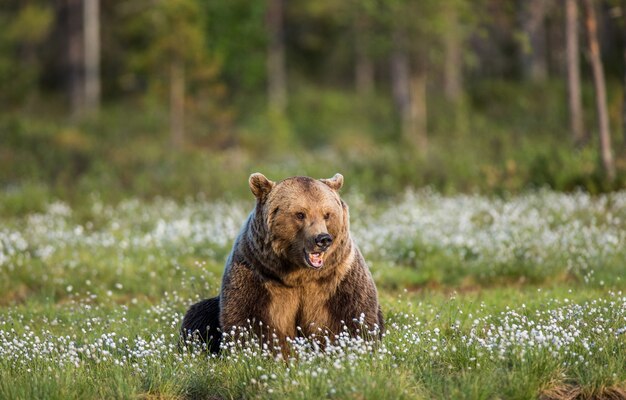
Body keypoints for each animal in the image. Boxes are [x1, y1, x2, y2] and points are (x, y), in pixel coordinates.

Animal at [182, 173, 380, 354]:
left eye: (327, 214)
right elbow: (248, 320)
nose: (322, 239)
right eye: (300, 214)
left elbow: (353, 317)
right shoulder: (256, 273)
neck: (298, 274)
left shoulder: (339, 278)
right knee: (198, 316)